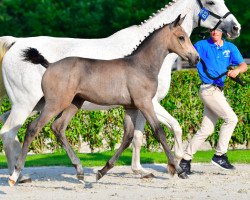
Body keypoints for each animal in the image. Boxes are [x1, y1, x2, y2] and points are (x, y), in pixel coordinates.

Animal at [0, 0, 240, 181]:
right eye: (211, 2)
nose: (235, 27)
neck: (140, 63)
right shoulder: (149, 103)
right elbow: (167, 129)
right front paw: (177, 166)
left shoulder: (134, 106)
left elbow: (134, 136)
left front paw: (137, 170)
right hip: (35, 104)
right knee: (19, 130)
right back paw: (16, 175)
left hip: (53, 104)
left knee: (37, 129)